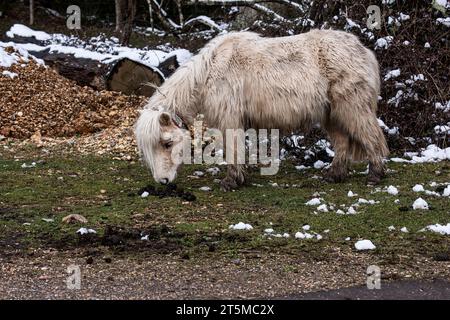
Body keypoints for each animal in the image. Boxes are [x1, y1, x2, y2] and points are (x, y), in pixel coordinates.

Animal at [135, 28, 388, 190]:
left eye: (167, 143)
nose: (163, 181)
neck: (208, 73)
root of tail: (365, 51)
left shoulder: (230, 119)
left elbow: (232, 148)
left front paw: (232, 181)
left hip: (352, 108)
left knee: (371, 136)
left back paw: (375, 175)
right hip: (331, 115)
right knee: (343, 143)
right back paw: (334, 176)